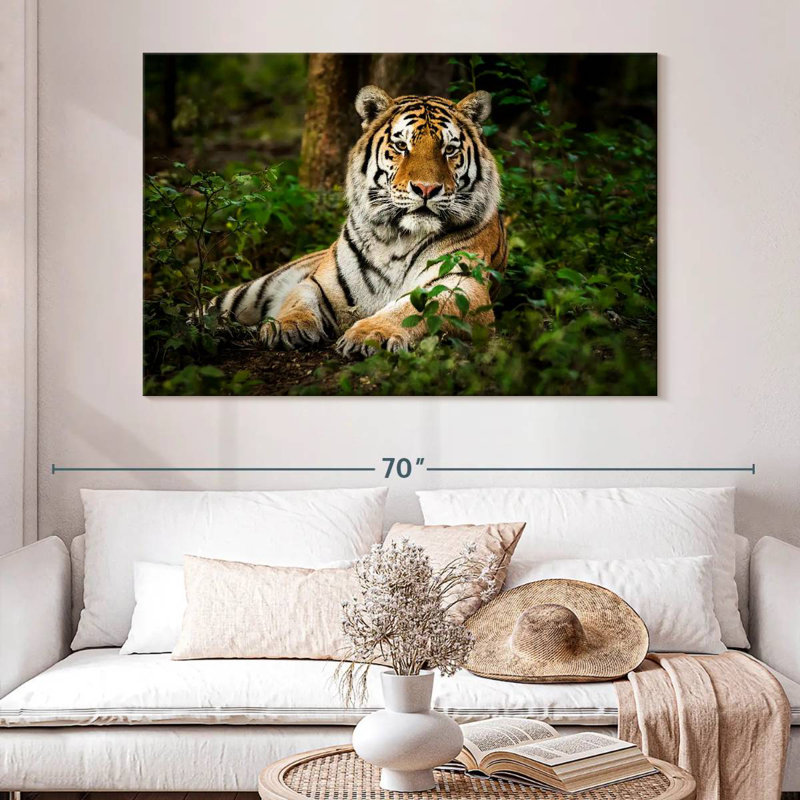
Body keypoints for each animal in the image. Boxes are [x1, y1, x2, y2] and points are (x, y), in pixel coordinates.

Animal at [206, 85, 507, 357]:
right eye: (401, 146)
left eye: (449, 149)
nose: (426, 189)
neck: (398, 238)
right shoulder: (320, 283)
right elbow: (297, 300)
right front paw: (285, 326)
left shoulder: (461, 286)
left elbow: (411, 309)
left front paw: (372, 334)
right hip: (250, 292)